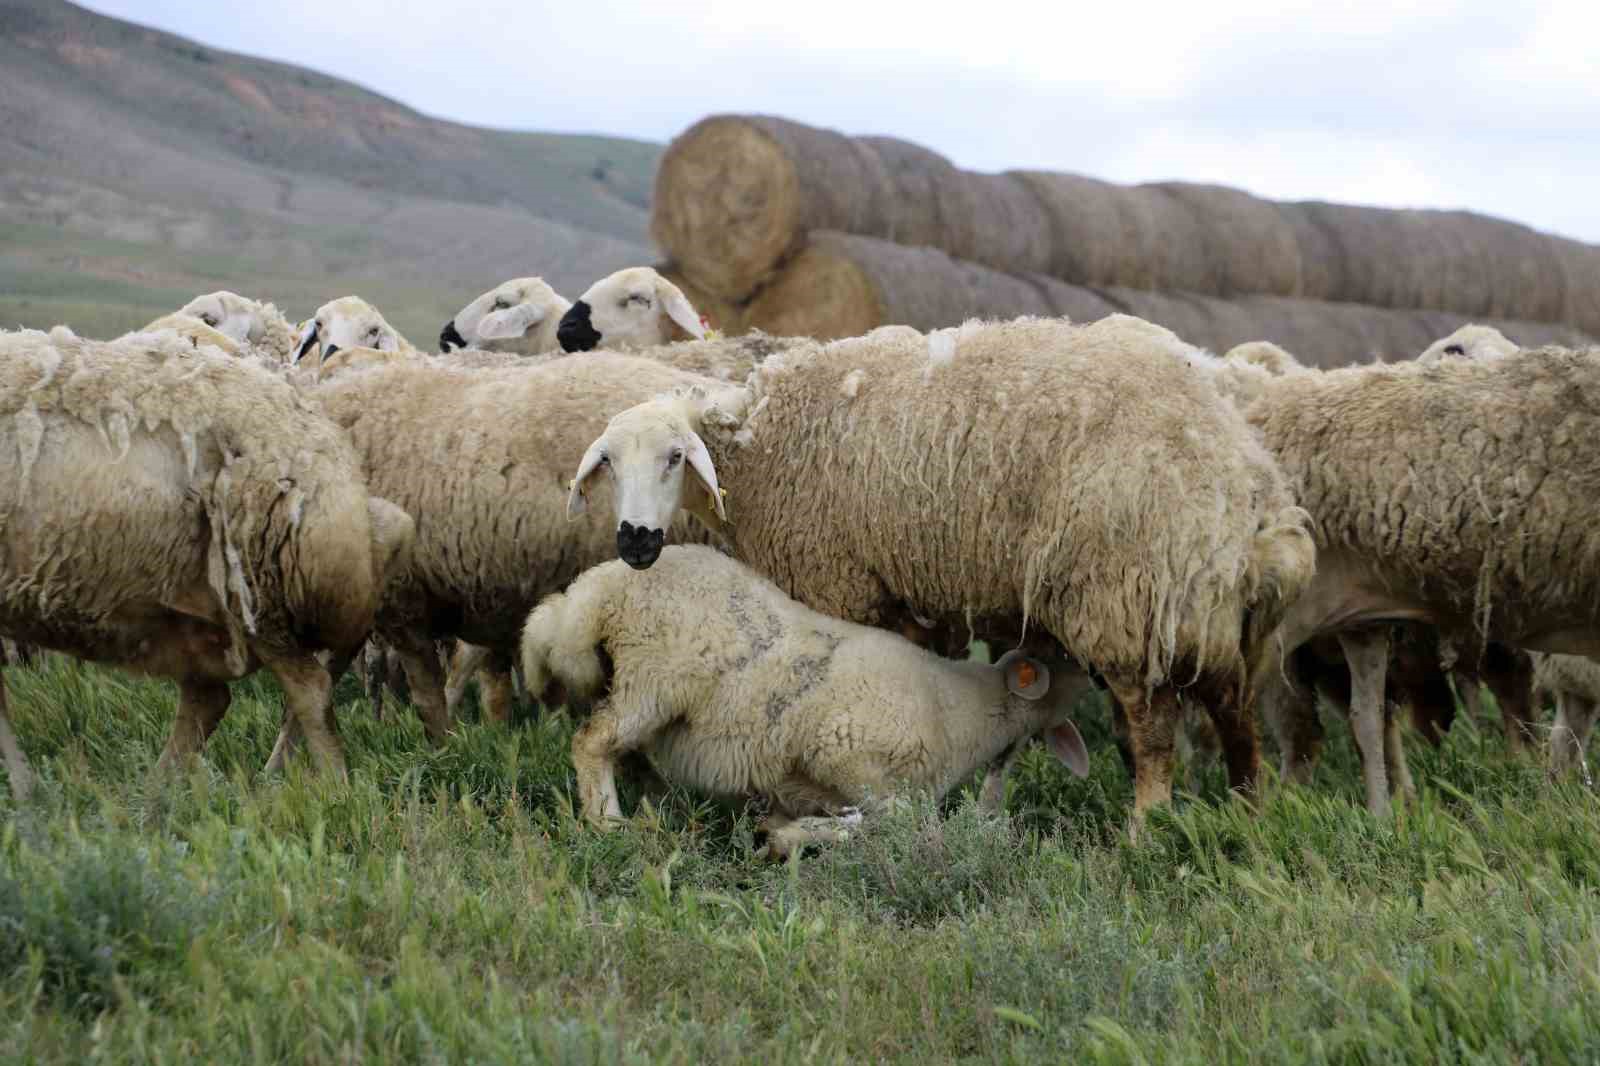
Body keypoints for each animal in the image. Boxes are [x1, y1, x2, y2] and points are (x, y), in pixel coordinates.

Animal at [518, 547, 1094, 857]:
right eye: (1061, 655)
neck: (961, 709)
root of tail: (595, 592)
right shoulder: (849, 758)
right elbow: (891, 823)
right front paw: (786, 840)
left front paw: (780, 832)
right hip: (655, 681)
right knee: (593, 742)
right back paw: (609, 824)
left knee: (624, 753)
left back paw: (659, 806)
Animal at [563, 312, 1312, 816]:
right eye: (607, 464)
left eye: (674, 458)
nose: (634, 542)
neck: (759, 448)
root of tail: (1248, 483)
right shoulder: (909, 596)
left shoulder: (840, 585)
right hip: (1212, 613)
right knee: (1235, 711)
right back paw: (1247, 811)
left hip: (1126, 592)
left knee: (1153, 727)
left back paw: (1144, 828)